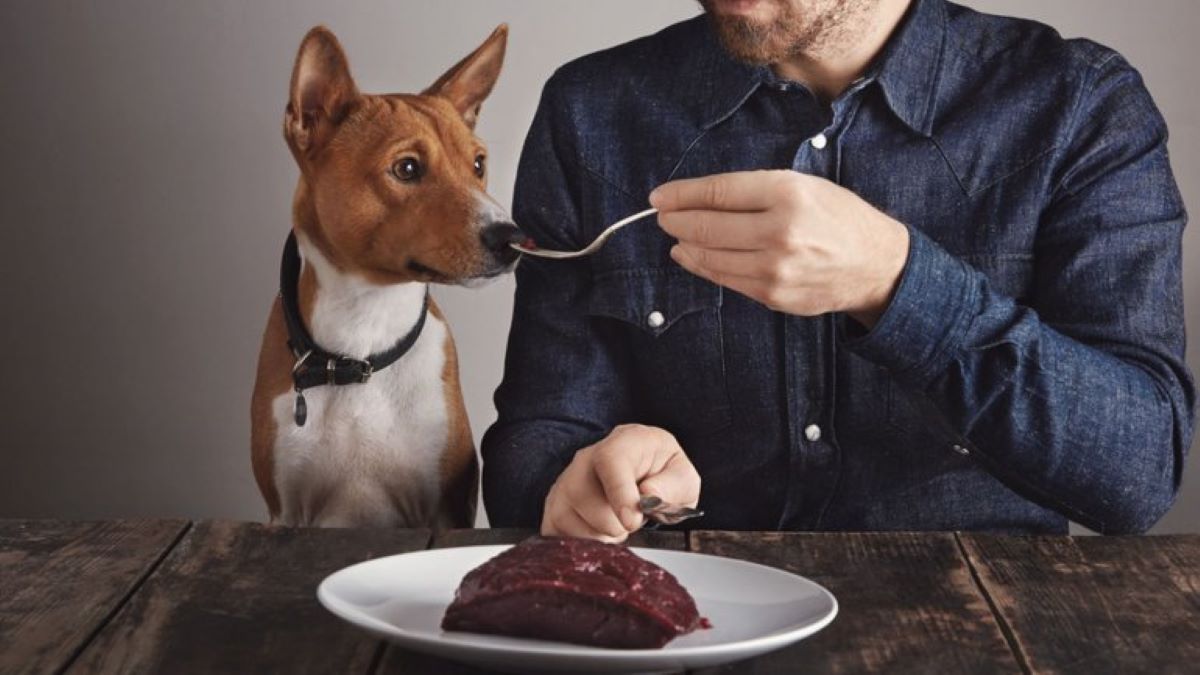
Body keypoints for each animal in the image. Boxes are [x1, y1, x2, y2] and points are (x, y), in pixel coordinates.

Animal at [250, 23, 518, 526]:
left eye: (478, 164)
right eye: (407, 168)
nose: (512, 237)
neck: (362, 344)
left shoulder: (442, 507)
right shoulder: (287, 511)